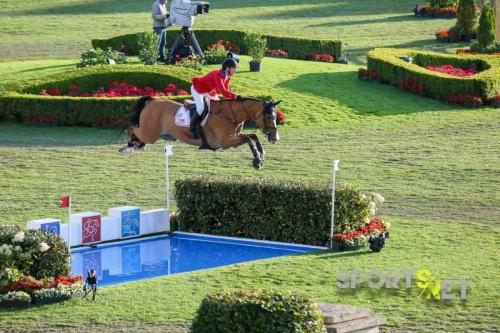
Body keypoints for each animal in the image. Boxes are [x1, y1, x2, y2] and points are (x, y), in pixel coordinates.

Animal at [118, 96, 282, 169]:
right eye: (269, 116)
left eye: (275, 116)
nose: (275, 137)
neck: (230, 114)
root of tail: (152, 101)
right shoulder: (225, 142)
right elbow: (249, 138)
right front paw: (257, 160)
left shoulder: (234, 140)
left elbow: (253, 137)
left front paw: (261, 156)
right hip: (149, 133)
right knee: (132, 127)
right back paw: (128, 147)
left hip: (151, 134)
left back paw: (136, 146)